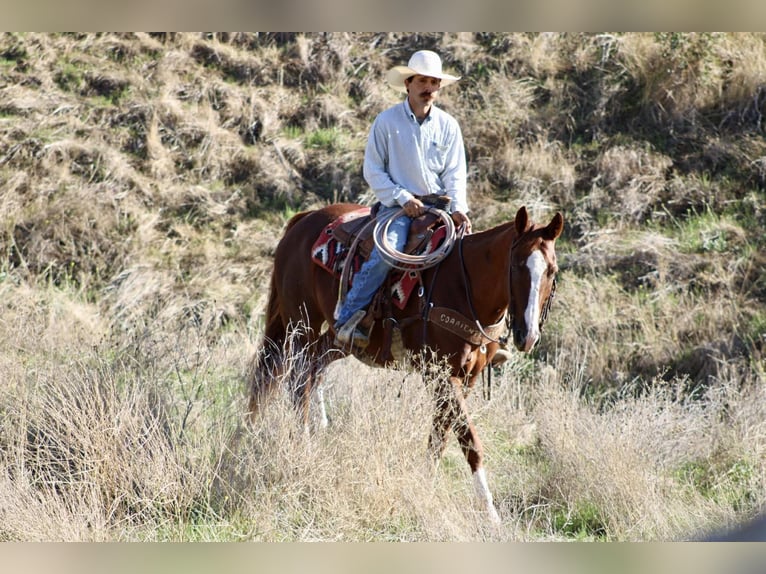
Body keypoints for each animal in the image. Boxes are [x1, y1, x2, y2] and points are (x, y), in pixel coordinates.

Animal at [247, 203, 564, 521]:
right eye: (516, 265)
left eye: (552, 270)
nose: (527, 335)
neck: (465, 287)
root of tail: (303, 220)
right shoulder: (441, 375)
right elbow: (468, 438)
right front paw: (490, 513)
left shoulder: (467, 378)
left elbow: (440, 435)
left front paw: (426, 485)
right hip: (301, 324)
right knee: (296, 382)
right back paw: (302, 441)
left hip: (335, 340)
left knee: (312, 369)